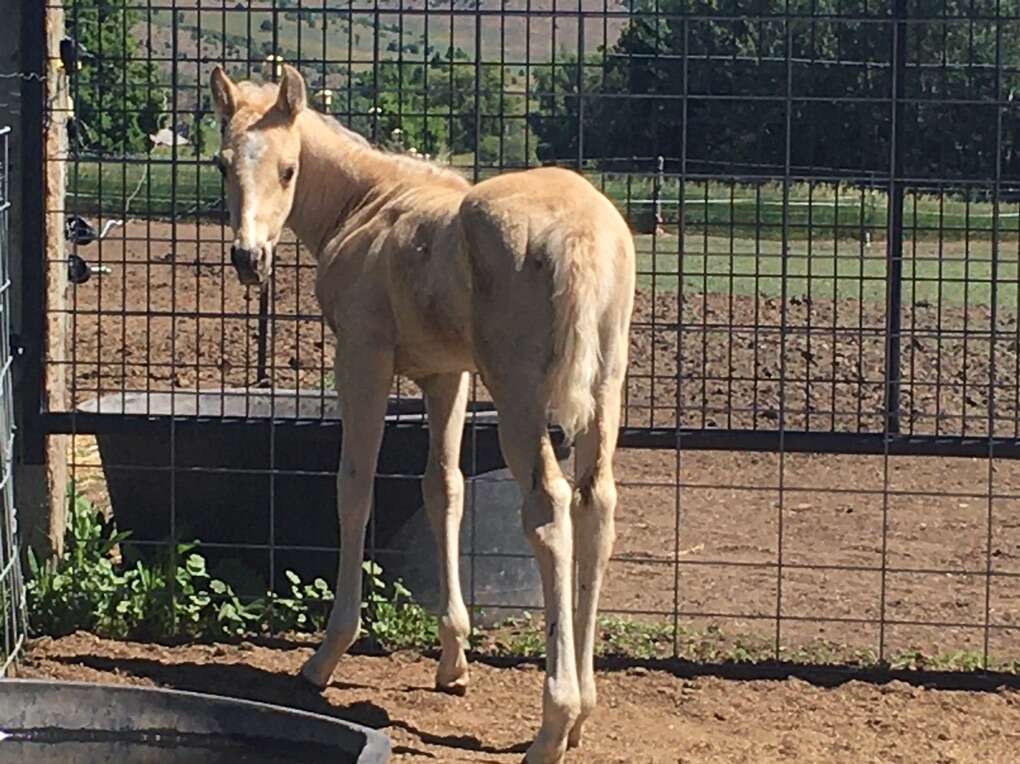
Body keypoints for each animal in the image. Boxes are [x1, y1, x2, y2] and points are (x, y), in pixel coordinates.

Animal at [209, 64, 635, 763]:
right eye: (221, 164)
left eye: (289, 170)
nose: (249, 259)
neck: (369, 202)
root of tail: (582, 233)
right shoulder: (447, 375)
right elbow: (443, 488)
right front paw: (453, 661)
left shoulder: (363, 355)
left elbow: (354, 487)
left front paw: (326, 654)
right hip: (605, 389)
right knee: (596, 505)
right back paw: (584, 714)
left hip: (519, 393)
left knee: (549, 509)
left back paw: (553, 723)